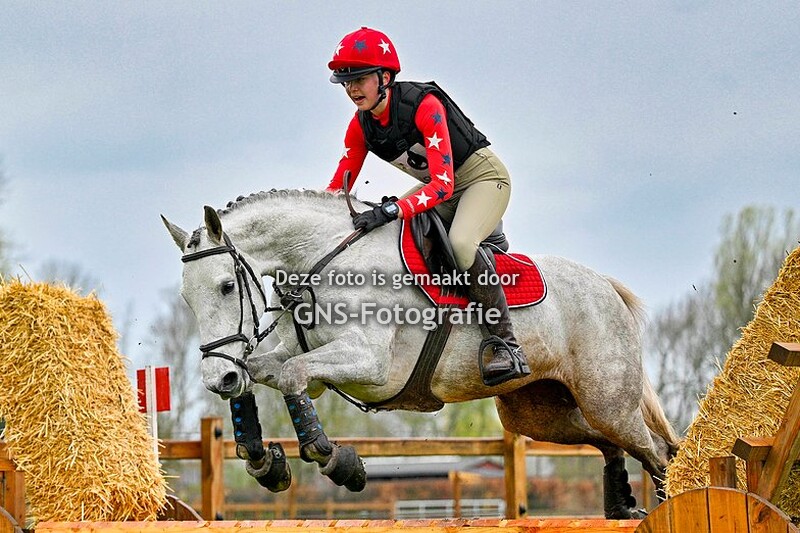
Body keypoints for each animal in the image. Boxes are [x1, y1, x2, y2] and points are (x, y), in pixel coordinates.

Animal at [162, 188, 679, 519]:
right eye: (186, 298)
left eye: (227, 286)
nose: (216, 378)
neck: (324, 262)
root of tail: (606, 288)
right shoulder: (305, 363)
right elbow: (262, 373)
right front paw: (264, 462)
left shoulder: (370, 363)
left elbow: (291, 375)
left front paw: (338, 462)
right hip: (539, 413)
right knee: (611, 442)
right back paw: (621, 505)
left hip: (607, 400)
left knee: (657, 451)